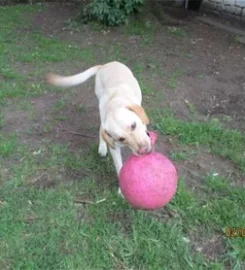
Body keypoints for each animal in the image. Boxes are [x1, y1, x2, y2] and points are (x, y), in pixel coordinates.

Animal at [47, 62, 152, 190]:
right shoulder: (114, 147)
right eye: (121, 139)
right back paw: (102, 147)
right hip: (100, 104)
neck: (116, 102)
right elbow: (119, 166)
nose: (143, 150)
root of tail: (105, 64)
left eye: (133, 125)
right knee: (101, 129)